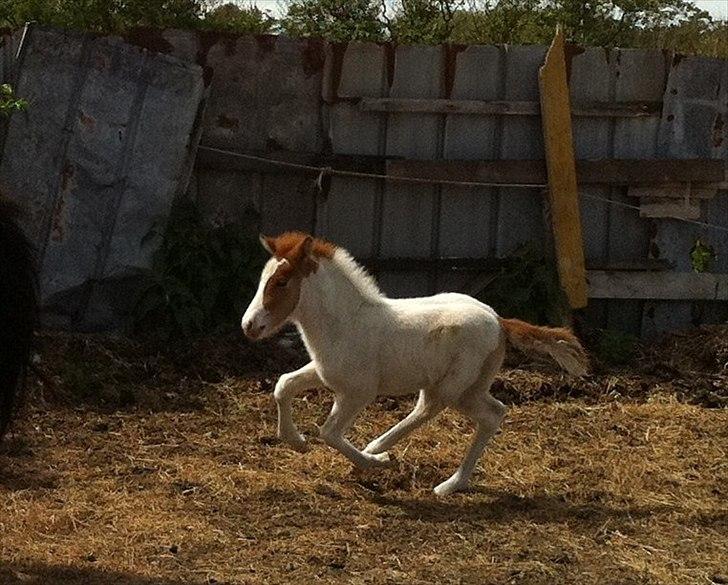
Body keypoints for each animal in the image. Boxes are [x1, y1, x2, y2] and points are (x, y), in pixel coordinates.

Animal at [242, 230, 588, 496]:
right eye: (262, 279)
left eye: (282, 282)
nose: (249, 325)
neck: (345, 323)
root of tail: (499, 321)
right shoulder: (325, 373)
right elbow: (283, 385)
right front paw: (297, 441)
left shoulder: (358, 392)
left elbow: (329, 432)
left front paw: (376, 464)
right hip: (468, 386)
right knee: (485, 412)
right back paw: (423, 468)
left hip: (453, 388)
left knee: (451, 412)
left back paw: (408, 463)